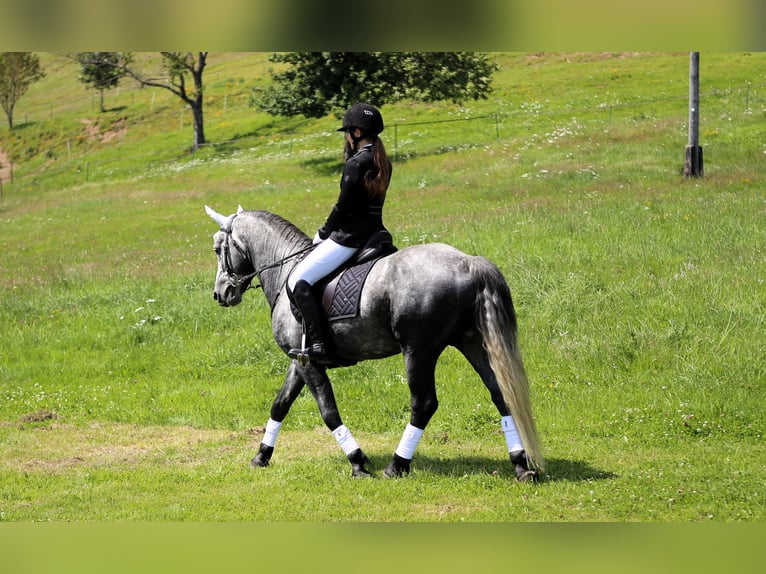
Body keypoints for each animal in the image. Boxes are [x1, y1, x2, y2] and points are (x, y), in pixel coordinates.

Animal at [206, 205, 544, 484]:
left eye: (218, 248)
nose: (220, 294)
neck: (286, 271)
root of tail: (468, 263)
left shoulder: (311, 364)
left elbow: (328, 412)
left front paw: (357, 462)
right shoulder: (298, 360)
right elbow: (280, 404)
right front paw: (261, 455)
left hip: (418, 351)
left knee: (423, 404)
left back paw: (397, 465)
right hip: (473, 343)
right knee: (500, 393)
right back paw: (520, 465)